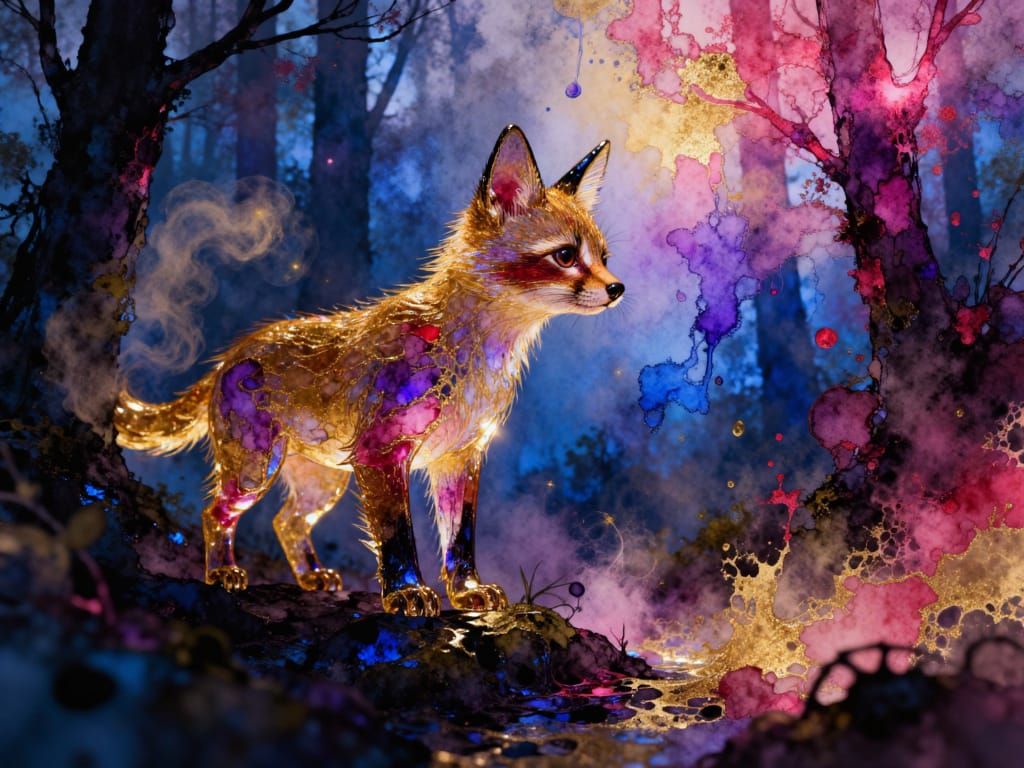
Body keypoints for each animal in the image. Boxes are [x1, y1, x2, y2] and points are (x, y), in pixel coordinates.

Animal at [114, 125, 624, 616]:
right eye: (565, 256)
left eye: (603, 257)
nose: (618, 289)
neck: (472, 358)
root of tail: (234, 350)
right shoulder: (382, 453)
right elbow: (397, 536)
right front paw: (407, 593)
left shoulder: (459, 457)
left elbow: (460, 541)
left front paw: (466, 593)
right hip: (256, 470)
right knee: (214, 513)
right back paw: (222, 572)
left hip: (324, 481)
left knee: (286, 521)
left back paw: (313, 578)